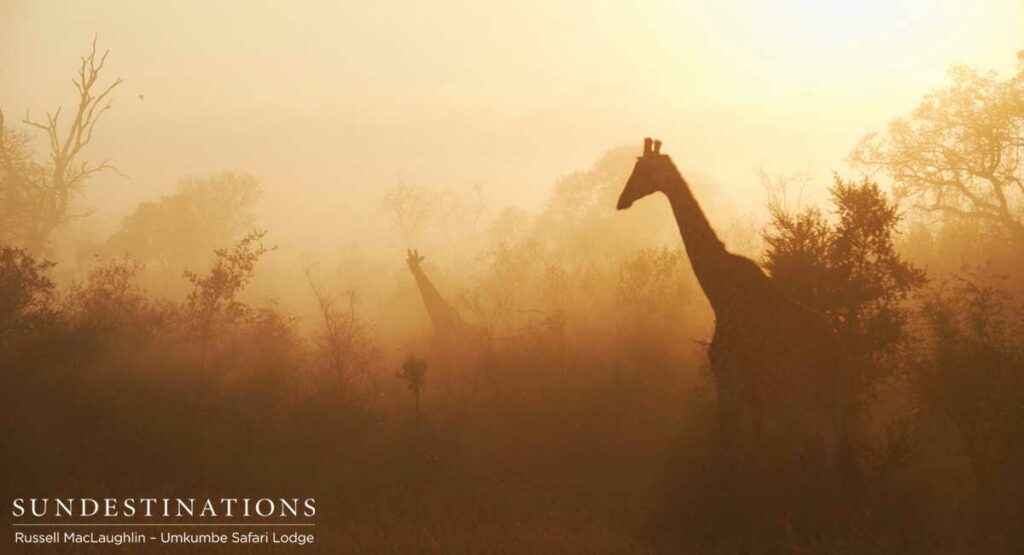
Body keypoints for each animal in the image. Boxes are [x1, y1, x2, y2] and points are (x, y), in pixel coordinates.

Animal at [617, 138, 854, 533]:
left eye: (640, 170)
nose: (621, 200)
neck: (718, 289)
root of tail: (833, 352)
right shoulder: (752, 394)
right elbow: (750, 454)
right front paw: (748, 510)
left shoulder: (729, 382)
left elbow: (729, 449)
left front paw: (730, 513)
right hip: (827, 398)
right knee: (831, 451)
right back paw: (831, 518)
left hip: (790, 397)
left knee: (800, 451)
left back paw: (794, 520)